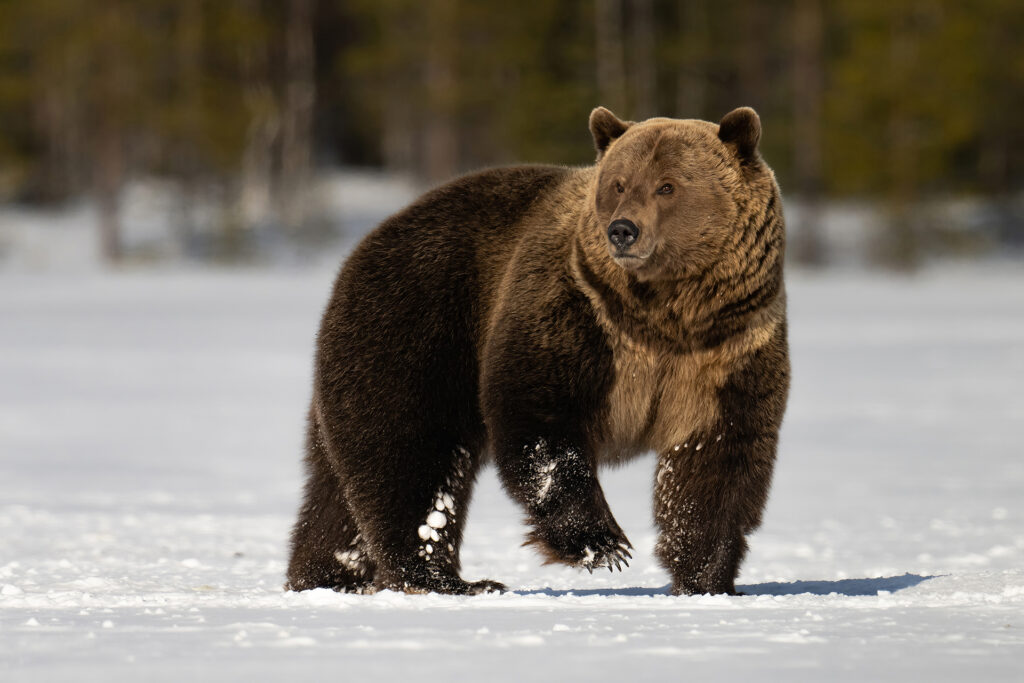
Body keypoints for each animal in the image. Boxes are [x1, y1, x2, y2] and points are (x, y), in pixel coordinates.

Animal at [286, 106, 789, 596]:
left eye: (668, 185)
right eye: (619, 183)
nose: (622, 230)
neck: (663, 317)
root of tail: (363, 244)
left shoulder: (728, 352)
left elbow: (717, 460)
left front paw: (705, 578)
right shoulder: (575, 311)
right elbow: (541, 419)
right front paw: (603, 544)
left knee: (337, 489)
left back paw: (327, 576)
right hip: (417, 330)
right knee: (411, 456)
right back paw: (447, 580)